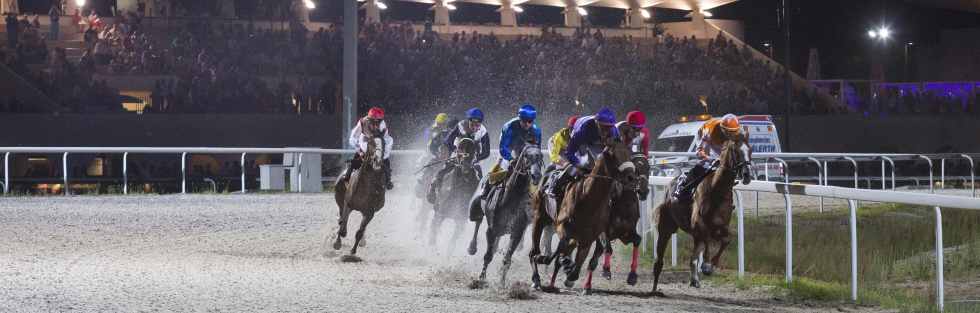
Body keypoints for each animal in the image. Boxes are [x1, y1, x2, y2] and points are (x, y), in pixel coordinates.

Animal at [472, 142, 544, 286]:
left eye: (541, 156)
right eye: (526, 155)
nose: (536, 175)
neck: (511, 196)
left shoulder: (517, 231)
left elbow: (507, 258)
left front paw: (502, 282)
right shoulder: (491, 230)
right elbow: (488, 256)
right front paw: (481, 278)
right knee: (477, 221)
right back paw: (472, 247)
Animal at [528, 138, 636, 294]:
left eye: (630, 154)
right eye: (613, 155)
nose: (632, 178)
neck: (590, 200)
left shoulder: (588, 238)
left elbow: (575, 270)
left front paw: (568, 268)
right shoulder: (561, 225)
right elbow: (563, 245)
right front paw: (555, 260)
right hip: (539, 218)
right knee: (533, 252)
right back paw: (537, 278)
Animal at [656, 131, 756, 292]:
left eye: (750, 150)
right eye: (735, 151)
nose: (747, 175)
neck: (716, 193)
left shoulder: (721, 226)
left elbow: (727, 239)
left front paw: (712, 264)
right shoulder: (697, 223)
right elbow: (708, 236)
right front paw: (707, 264)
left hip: (695, 235)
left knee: (693, 258)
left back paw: (695, 280)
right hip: (668, 225)